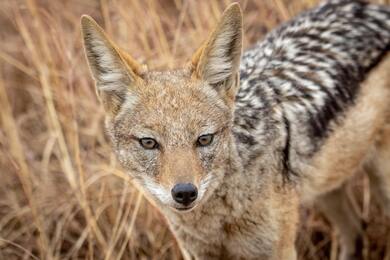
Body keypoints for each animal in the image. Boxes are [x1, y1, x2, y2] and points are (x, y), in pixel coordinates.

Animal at [80, 1, 390, 258]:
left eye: (204, 139)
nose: (185, 193)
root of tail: (373, 8)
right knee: (356, 230)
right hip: (326, 188)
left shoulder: (280, 250)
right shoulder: (198, 254)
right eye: (148, 143)